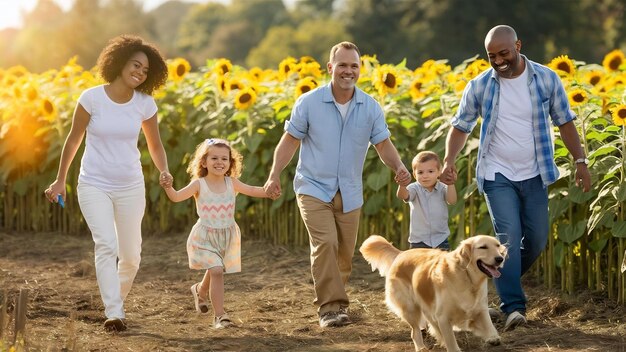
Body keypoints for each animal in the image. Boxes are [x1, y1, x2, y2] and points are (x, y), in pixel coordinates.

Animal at [358, 234, 504, 352]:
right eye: (483, 247)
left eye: (497, 245)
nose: (500, 258)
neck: (466, 277)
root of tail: (401, 253)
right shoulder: (443, 317)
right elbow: (451, 340)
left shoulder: (480, 308)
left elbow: (489, 324)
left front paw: (493, 337)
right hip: (410, 309)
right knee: (415, 332)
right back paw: (421, 347)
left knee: (431, 323)